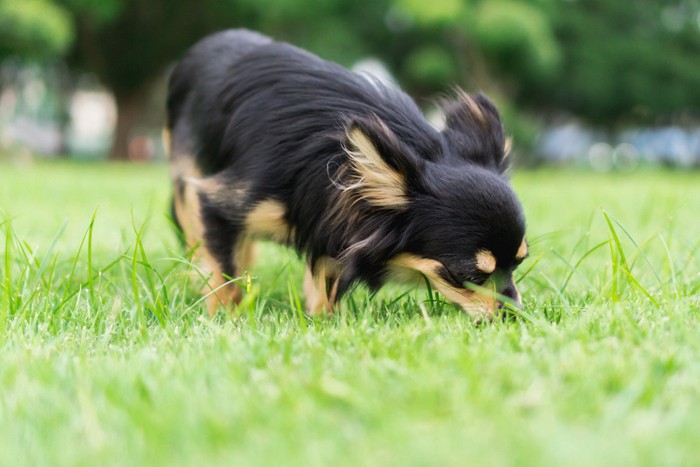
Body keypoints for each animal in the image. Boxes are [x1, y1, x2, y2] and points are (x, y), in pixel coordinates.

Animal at [163, 30, 524, 322]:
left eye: (518, 264)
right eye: (467, 274)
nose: (516, 315)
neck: (334, 155)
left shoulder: (332, 219)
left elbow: (325, 279)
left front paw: (324, 322)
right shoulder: (218, 199)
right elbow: (226, 275)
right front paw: (226, 320)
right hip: (186, 181)